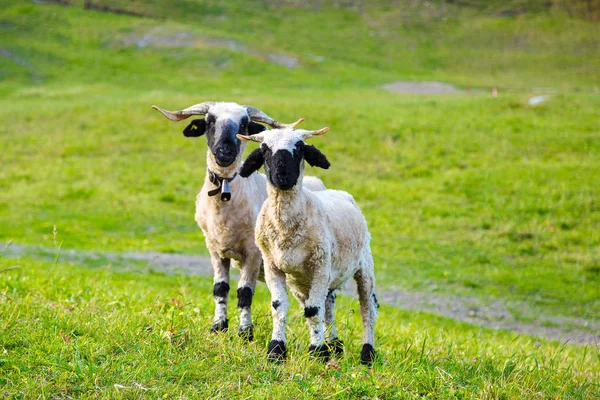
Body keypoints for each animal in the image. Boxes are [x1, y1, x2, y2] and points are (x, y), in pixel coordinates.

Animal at [152, 101, 326, 340]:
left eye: (243, 124)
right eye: (210, 121)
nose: (225, 152)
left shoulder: (253, 253)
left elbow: (245, 292)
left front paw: (245, 332)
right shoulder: (214, 249)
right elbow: (220, 288)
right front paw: (218, 326)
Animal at [237, 126, 378, 364]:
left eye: (300, 148)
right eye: (264, 150)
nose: (283, 176)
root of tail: (339, 193)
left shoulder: (320, 266)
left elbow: (313, 310)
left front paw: (316, 351)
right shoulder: (272, 266)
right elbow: (279, 307)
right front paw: (276, 350)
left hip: (363, 266)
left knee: (367, 308)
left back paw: (367, 353)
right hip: (303, 281)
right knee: (327, 305)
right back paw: (334, 344)